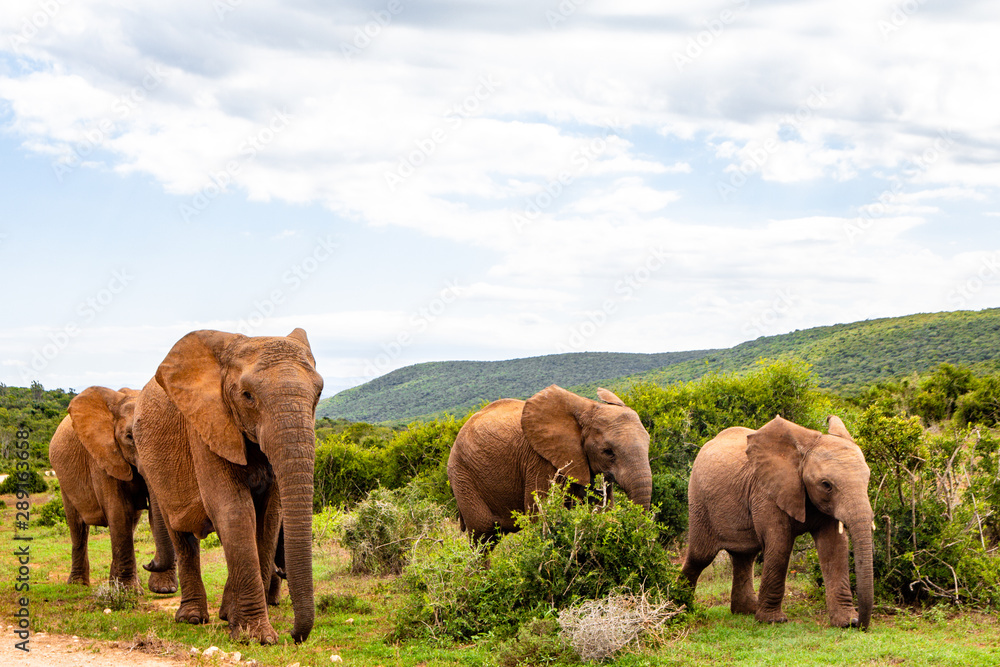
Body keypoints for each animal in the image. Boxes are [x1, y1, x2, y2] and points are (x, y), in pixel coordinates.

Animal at [48, 386, 177, 593]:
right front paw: (130, 592)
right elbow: (119, 512)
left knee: (131, 522)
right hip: (64, 481)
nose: (149, 563)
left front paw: (163, 590)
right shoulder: (103, 456)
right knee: (78, 527)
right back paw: (78, 585)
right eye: (129, 437)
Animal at [133, 328, 322, 644]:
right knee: (181, 534)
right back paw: (192, 618)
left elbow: (269, 518)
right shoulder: (205, 425)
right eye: (247, 396)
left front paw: (239, 625)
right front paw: (257, 638)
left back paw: (222, 615)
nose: (295, 635)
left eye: (318, 393)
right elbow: (233, 509)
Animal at [447, 384, 652, 543]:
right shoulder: (540, 460)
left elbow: (600, 508)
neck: (587, 407)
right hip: (462, 475)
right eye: (608, 452)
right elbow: (542, 513)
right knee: (483, 537)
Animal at [681, 415, 874, 629]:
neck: (800, 454)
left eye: (867, 479)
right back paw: (680, 608)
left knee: (744, 555)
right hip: (699, 500)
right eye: (826, 485)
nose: (859, 623)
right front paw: (773, 620)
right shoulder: (766, 492)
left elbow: (834, 548)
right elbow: (780, 543)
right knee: (700, 555)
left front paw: (845, 622)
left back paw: (746, 610)